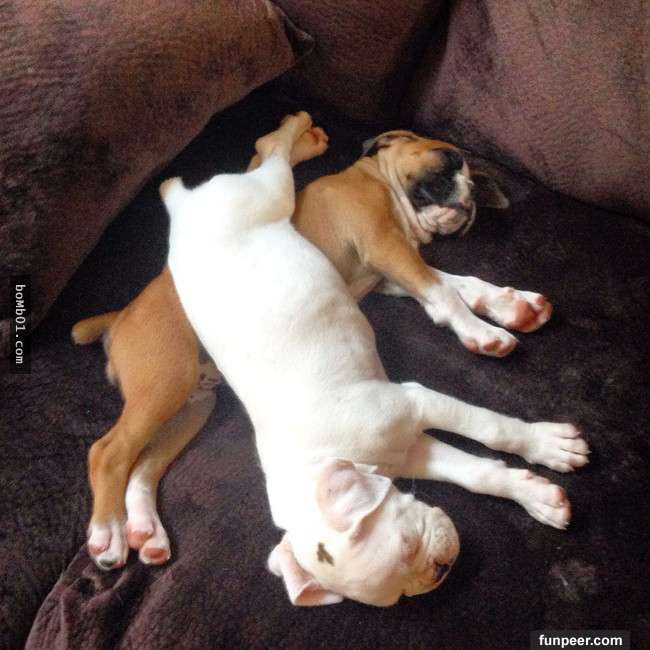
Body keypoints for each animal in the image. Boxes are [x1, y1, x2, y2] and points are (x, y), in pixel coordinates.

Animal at [73, 119, 554, 572]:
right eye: (448, 158)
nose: (468, 197)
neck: (377, 182)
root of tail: (119, 316)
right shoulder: (387, 247)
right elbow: (444, 291)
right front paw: (484, 332)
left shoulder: (389, 276)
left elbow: (460, 284)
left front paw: (513, 305)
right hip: (165, 385)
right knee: (109, 452)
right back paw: (109, 533)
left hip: (191, 405)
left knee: (142, 466)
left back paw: (145, 530)